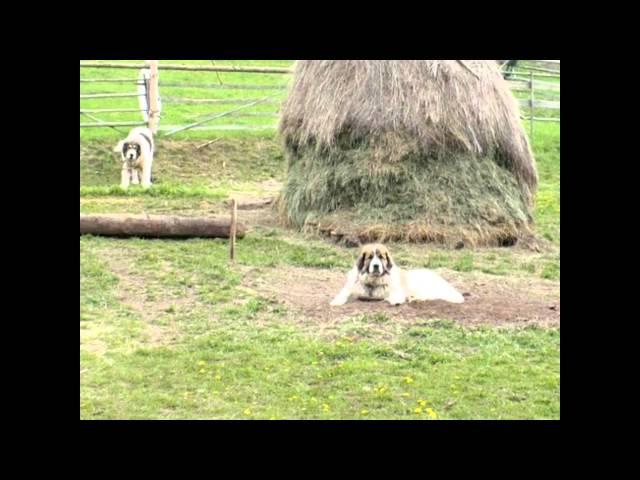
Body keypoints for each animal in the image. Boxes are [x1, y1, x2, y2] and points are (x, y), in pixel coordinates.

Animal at [332, 244, 462, 308]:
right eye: (370, 257)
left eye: (381, 257)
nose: (376, 266)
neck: (373, 281)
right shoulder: (352, 287)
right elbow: (344, 293)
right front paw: (336, 301)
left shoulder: (395, 289)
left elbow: (396, 294)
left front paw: (396, 301)